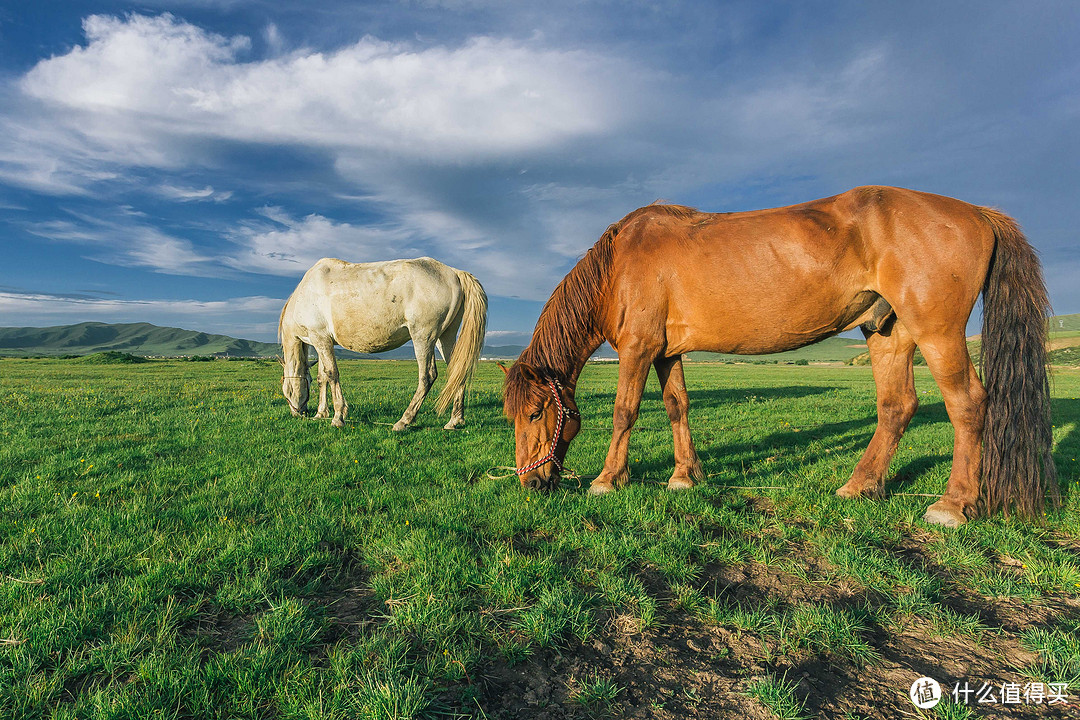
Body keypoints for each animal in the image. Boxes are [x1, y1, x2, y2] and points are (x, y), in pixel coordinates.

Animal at [280, 257, 488, 431]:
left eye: (286, 390)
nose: (298, 413)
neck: (305, 294)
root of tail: (454, 272)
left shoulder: (320, 338)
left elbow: (332, 374)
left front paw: (338, 417)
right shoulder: (322, 341)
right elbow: (323, 377)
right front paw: (321, 413)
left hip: (423, 336)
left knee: (427, 376)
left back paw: (403, 421)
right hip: (444, 337)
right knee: (457, 371)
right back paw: (454, 421)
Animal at [503, 185, 1054, 526]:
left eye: (535, 413)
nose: (530, 484)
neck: (620, 263)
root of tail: (976, 212)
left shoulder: (638, 349)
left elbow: (624, 412)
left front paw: (606, 480)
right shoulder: (665, 353)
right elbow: (678, 407)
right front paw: (684, 477)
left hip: (936, 333)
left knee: (968, 405)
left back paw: (952, 505)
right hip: (888, 332)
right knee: (897, 407)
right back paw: (860, 487)